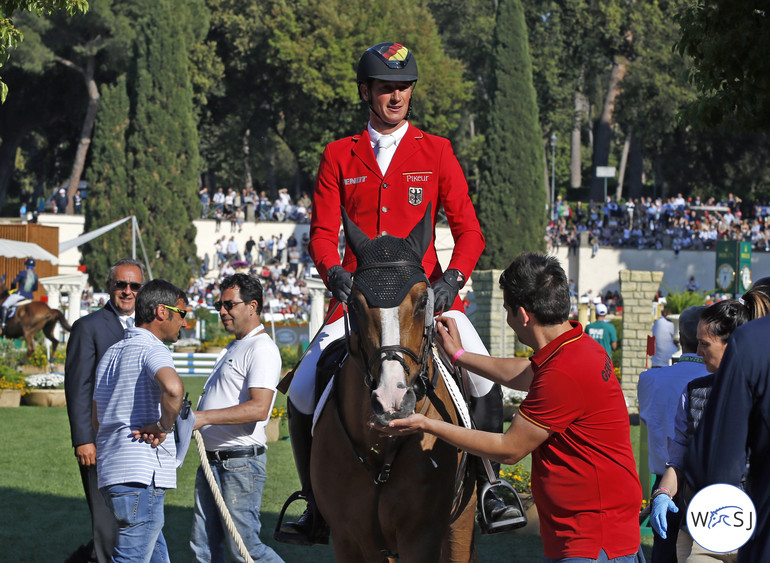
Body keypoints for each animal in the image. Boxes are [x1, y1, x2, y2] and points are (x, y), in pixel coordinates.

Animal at [308, 207, 476, 563]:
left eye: (424, 300)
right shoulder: (348, 539)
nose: (391, 401)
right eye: (354, 303)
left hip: (462, 523)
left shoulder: (422, 536)